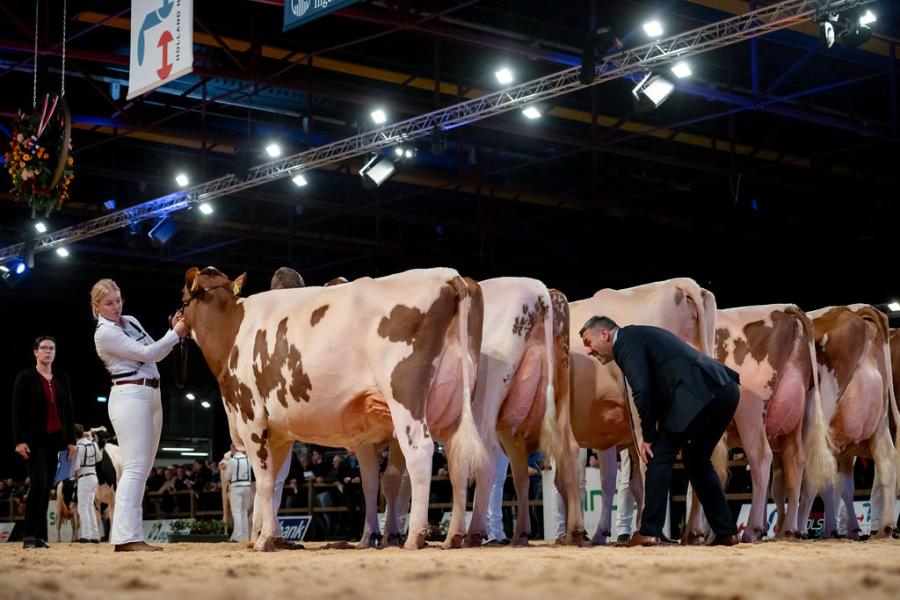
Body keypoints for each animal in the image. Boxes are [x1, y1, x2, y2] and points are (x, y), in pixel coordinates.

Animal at [178, 264, 486, 552]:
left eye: (182, 297)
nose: (175, 320)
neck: (234, 328)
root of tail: (449, 275)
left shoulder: (251, 417)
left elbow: (264, 482)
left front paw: (264, 540)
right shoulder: (279, 434)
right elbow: (274, 483)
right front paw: (269, 536)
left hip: (405, 396)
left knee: (420, 452)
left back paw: (415, 537)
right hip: (455, 404)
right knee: (457, 460)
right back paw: (453, 536)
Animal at [716, 304, 836, 540]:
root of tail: (785, 309)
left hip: (750, 412)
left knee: (761, 457)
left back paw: (752, 530)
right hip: (795, 414)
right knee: (796, 460)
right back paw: (788, 529)